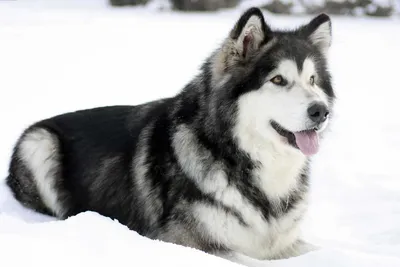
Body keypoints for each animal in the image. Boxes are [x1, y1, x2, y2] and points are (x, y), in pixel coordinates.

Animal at [7, 7, 336, 266]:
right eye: (278, 80)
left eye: (312, 80)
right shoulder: (184, 240)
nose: (321, 111)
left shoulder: (281, 242)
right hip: (39, 142)